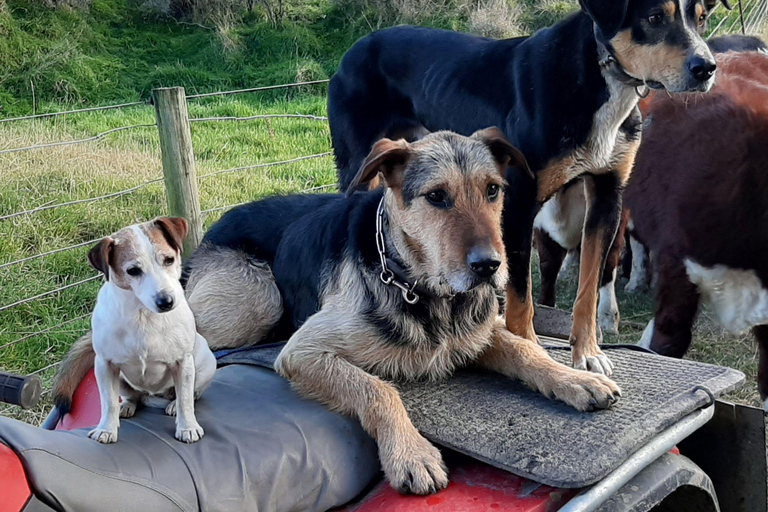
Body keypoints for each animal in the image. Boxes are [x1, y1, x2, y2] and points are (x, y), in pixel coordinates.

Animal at [328, 0, 728, 374]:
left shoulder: (606, 199)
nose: (706, 68)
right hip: (360, 168)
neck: (595, 80)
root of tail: (355, 48)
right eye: (655, 17)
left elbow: (588, 290)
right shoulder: (519, 205)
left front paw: (588, 353)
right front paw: (531, 351)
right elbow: (522, 296)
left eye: (702, 18)